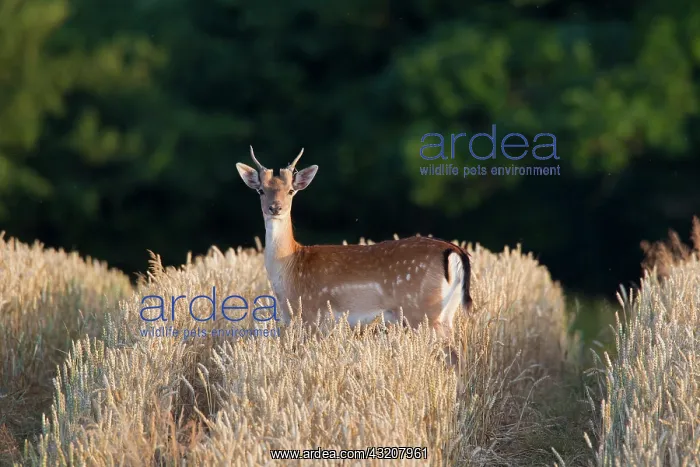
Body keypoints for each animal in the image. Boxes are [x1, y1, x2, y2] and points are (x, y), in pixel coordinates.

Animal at [236, 147, 473, 339]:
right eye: (261, 190)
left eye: (291, 191)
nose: (275, 207)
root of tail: (454, 250)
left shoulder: (312, 314)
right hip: (445, 312)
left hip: (422, 310)